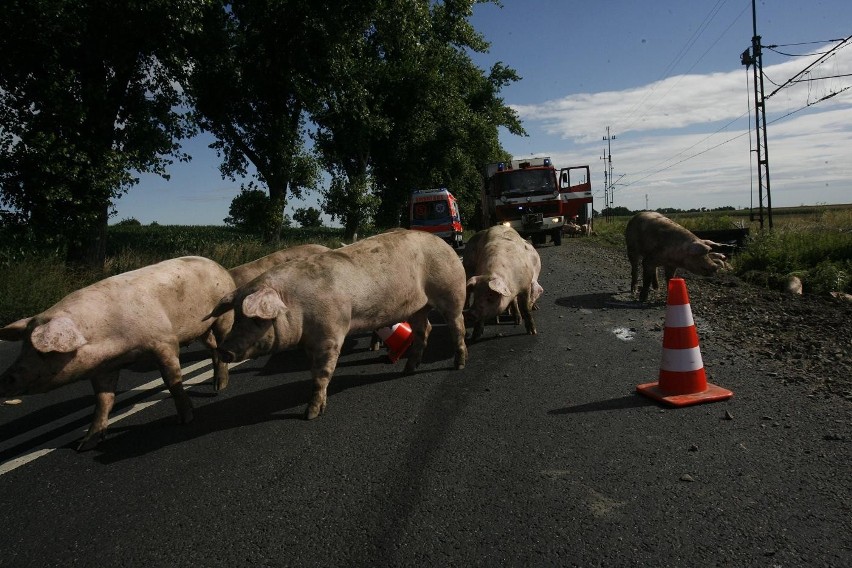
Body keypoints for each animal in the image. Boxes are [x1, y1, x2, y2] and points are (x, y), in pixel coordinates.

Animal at [0, 256, 236, 448]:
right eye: (23, 346)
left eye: (43, 352)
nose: (5, 378)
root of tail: (218, 265)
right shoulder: (104, 368)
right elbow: (104, 400)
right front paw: (86, 444)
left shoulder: (164, 342)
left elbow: (172, 381)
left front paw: (185, 420)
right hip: (201, 330)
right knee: (214, 348)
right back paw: (217, 384)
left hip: (223, 317)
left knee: (222, 343)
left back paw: (220, 387)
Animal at [209, 229, 470, 420]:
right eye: (237, 317)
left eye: (255, 319)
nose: (224, 349)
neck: (295, 303)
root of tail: (443, 243)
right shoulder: (310, 340)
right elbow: (314, 371)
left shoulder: (330, 333)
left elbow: (322, 373)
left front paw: (310, 415)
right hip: (416, 307)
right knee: (424, 330)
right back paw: (408, 369)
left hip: (451, 290)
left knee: (457, 325)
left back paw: (459, 365)